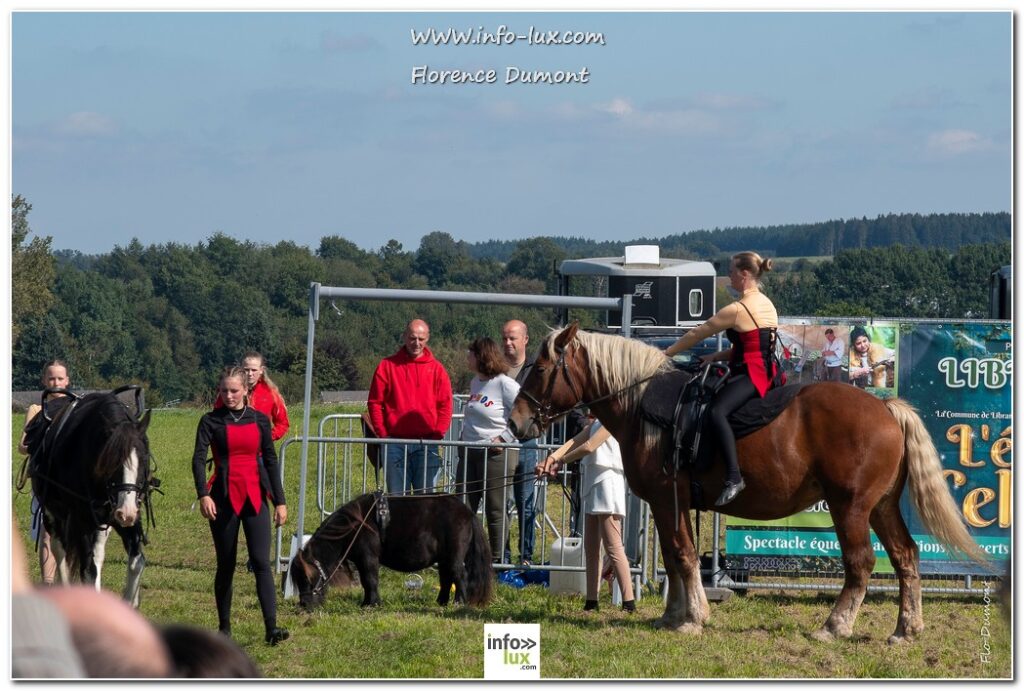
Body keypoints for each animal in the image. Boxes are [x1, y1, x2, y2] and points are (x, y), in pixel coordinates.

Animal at [28, 386, 156, 610]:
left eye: (144, 458)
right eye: (111, 461)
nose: (126, 512)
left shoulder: (128, 517)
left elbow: (136, 561)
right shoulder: (83, 520)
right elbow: (88, 570)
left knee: (97, 553)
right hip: (54, 513)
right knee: (60, 550)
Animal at [288, 491, 495, 610]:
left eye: (307, 578)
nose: (304, 605)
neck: (356, 525)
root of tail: (468, 512)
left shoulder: (368, 558)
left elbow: (370, 580)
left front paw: (372, 604)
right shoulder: (362, 560)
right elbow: (366, 582)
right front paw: (367, 602)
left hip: (454, 556)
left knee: (460, 575)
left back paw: (459, 601)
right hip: (443, 559)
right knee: (446, 579)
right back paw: (441, 602)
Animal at [507, 323, 987, 642]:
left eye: (542, 369)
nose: (515, 422)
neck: (645, 404)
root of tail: (886, 409)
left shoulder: (665, 497)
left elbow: (682, 556)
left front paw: (693, 618)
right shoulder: (670, 504)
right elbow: (674, 557)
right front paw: (674, 615)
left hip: (850, 507)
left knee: (861, 563)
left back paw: (835, 626)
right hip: (882, 507)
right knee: (905, 556)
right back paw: (906, 628)